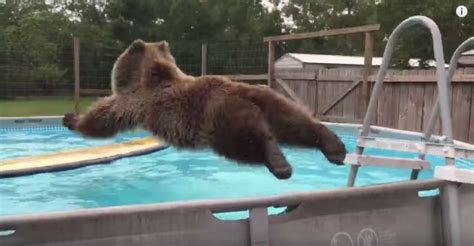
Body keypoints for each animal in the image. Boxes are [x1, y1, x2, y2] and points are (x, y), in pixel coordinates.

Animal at [63, 40, 346, 179]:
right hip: (271, 100)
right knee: (296, 123)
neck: (152, 76)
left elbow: (103, 118)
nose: (67, 116)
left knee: (249, 140)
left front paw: (72, 118)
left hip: (219, 122)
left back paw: (279, 163)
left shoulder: (135, 101)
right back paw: (334, 146)